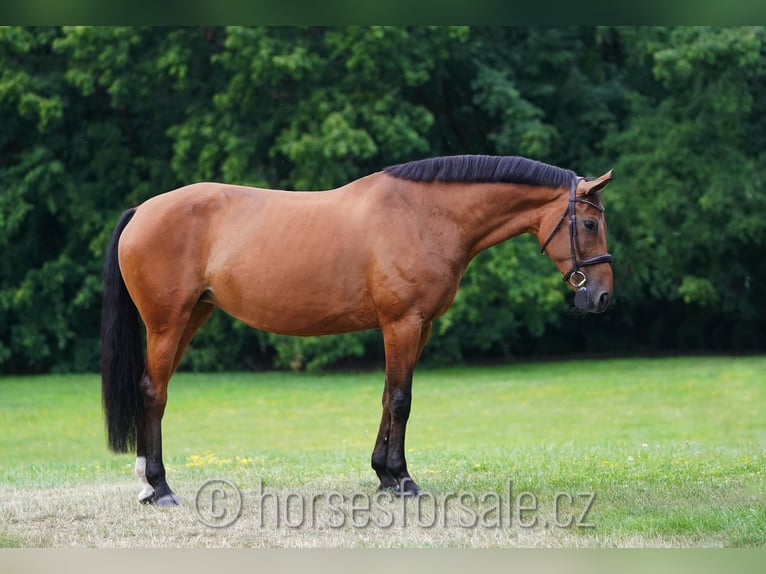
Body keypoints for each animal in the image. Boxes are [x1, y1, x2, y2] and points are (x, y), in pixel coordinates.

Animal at [102, 155, 616, 506]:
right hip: (167, 323)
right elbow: (402, 400)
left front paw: (384, 476)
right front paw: (403, 479)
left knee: (154, 390)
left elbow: (390, 397)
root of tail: (142, 210)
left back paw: (146, 481)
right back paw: (160, 487)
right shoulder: (402, 323)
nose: (602, 297)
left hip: (192, 317)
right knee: (153, 392)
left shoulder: (419, 327)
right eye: (590, 223)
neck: (423, 215)